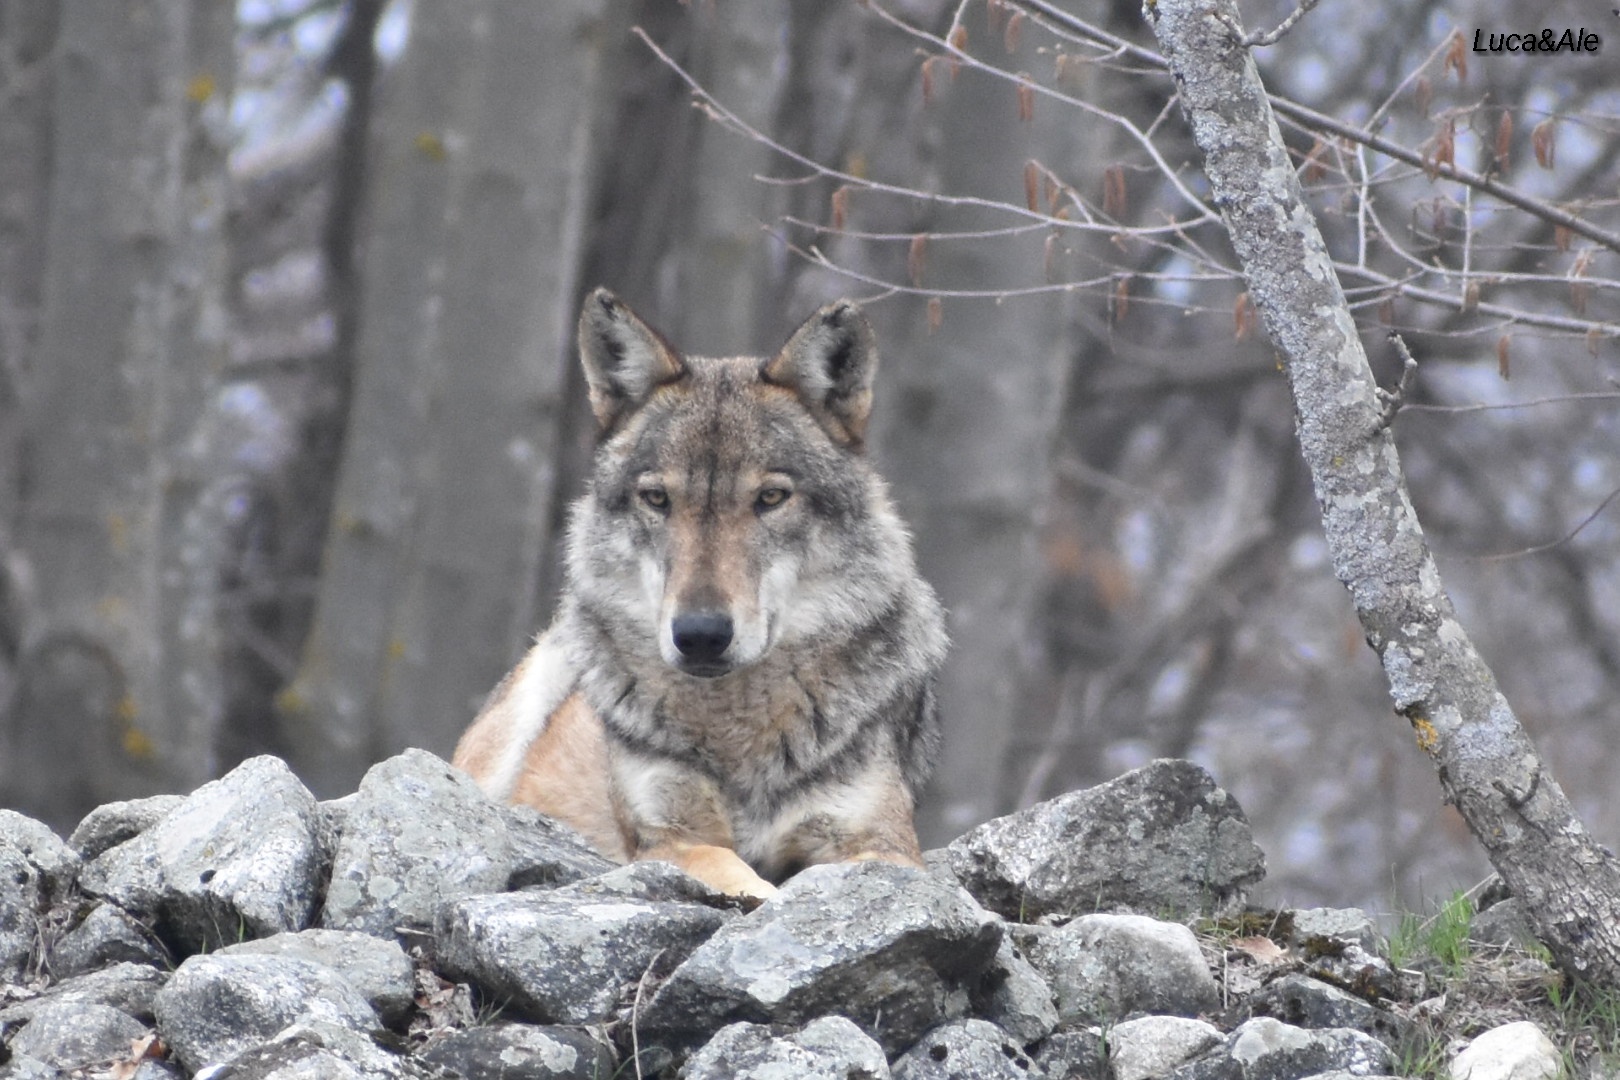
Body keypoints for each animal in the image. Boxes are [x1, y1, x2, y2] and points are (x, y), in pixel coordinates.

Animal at [452, 288, 947, 898]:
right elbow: (744, 880)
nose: (701, 635)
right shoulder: (670, 841)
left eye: (771, 498)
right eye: (658, 499)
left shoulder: (884, 847)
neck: (738, 730)